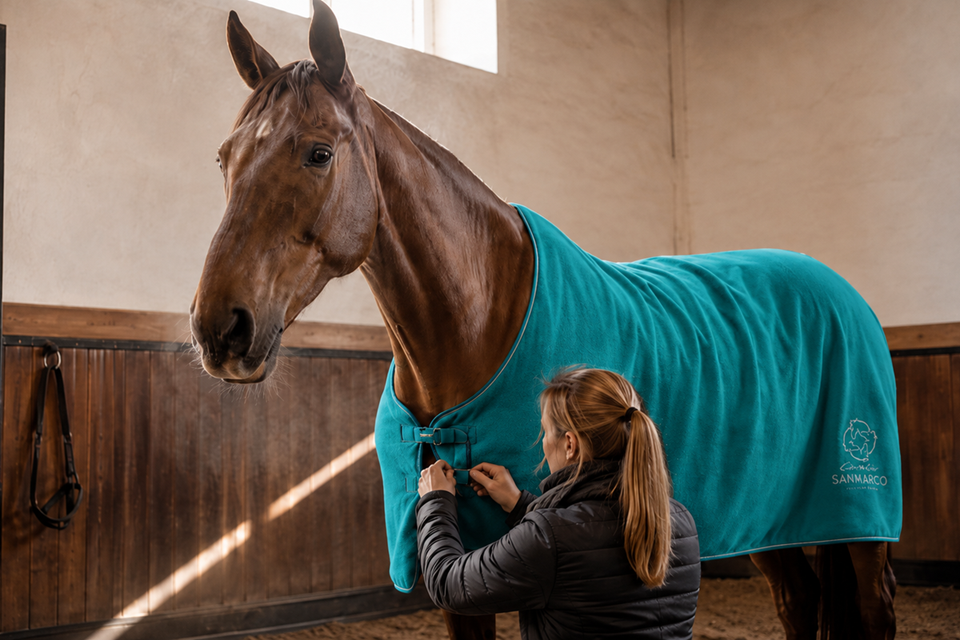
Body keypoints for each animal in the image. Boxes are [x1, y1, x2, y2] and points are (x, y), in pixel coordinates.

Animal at [189, 2, 900, 638]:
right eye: (223, 158)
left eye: (317, 153)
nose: (219, 329)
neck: (477, 326)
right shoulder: (457, 577)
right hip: (770, 516)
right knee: (799, 600)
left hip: (859, 520)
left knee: (871, 607)